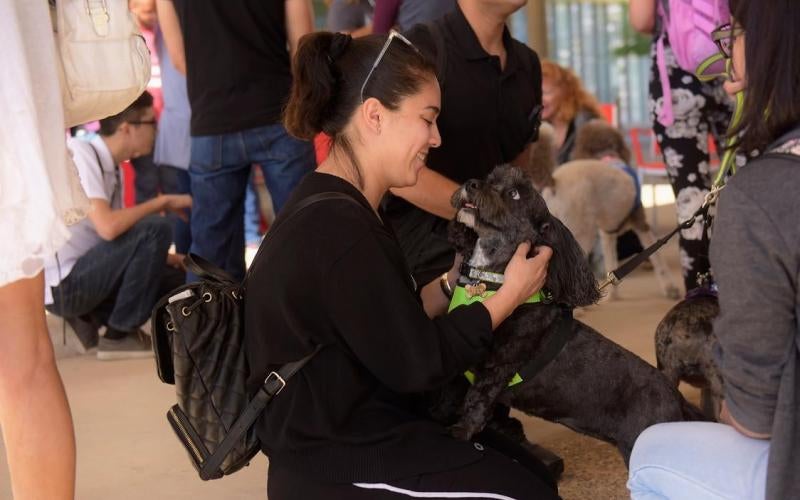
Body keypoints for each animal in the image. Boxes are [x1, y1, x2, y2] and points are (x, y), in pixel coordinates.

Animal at [438, 165, 708, 464]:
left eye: (514, 194)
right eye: (489, 178)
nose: (471, 184)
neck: (489, 280)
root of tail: (678, 400)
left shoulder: (498, 366)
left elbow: (476, 400)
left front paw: (459, 431)